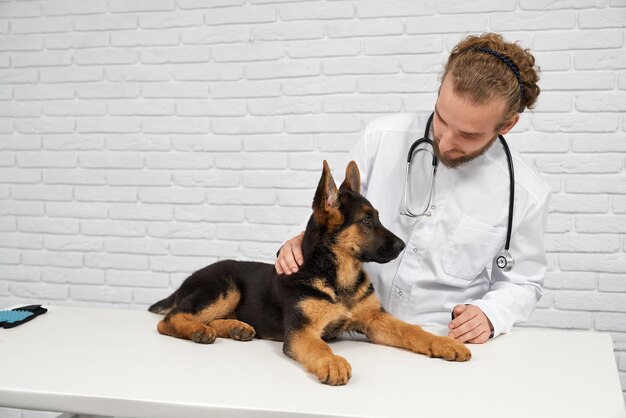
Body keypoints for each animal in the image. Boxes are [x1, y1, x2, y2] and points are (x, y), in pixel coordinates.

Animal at [149, 160, 468, 386]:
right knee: (170, 319)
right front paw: (333, 363)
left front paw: (444, 343)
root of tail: (186, 281)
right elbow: (319, 347)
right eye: (367, 221)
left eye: (377, 217)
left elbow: (411, 330)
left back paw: (236, 328)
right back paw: (200, 330)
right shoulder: (302, 331)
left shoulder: (375, 319)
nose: (403, 246)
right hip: (226, 287)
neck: (338, 277)